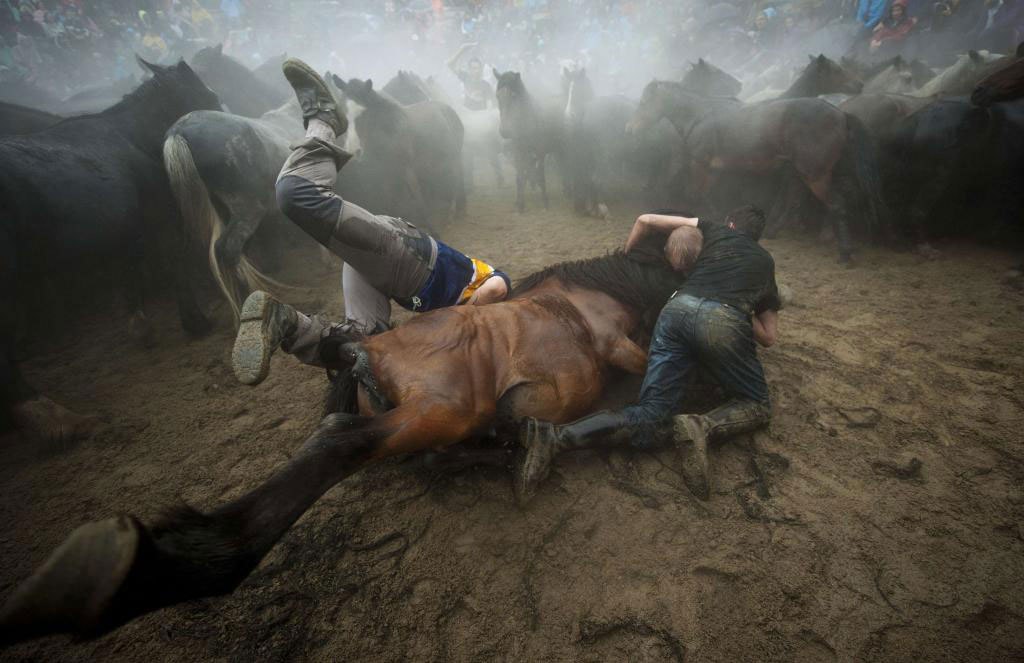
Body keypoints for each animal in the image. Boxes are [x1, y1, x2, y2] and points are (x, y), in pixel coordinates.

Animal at [0, 58, 223, 440]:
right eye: (200, 89)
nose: (220, 108)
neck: (132, 135)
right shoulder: (160, 220)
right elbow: (172, 264)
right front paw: (196, 322)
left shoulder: (125, 228)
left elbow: (129, 268)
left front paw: (140, 328)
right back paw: (59, 419)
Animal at [0, 247, 684, 643]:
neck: (585, 293)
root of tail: (369, 354)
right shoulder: (618, 346)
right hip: (442, 407)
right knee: (339, 443)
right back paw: (157, 567)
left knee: (394, 423)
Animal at [493, 68, 569, 213]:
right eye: (497, 96)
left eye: (514, 95)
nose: (504, 131)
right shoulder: (518, 152)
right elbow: (520, 176)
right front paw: (519, 204)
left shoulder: (540, 152)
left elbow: (540, 175)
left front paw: (545, 201)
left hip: (561, 147)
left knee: (564, 166)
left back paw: (567, 191)